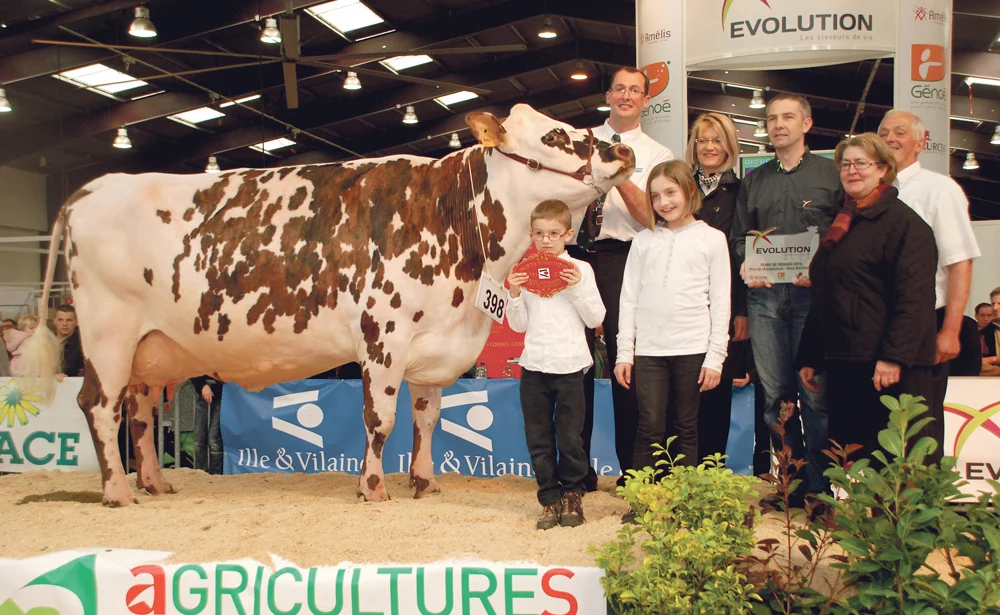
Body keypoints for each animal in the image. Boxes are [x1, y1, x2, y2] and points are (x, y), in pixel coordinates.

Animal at [25, 104, 632, 506]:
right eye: (555, 133)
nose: (623, 149)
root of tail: (91, 188)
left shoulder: (434, 344)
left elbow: (428, 418)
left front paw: (425, 482)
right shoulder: (384, 336)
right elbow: (381, 419)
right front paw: (373, 489)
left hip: (150, 348)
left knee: (140, 410)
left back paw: (156, 482)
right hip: (108, 332)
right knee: (99, 406)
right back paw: (118, 493)